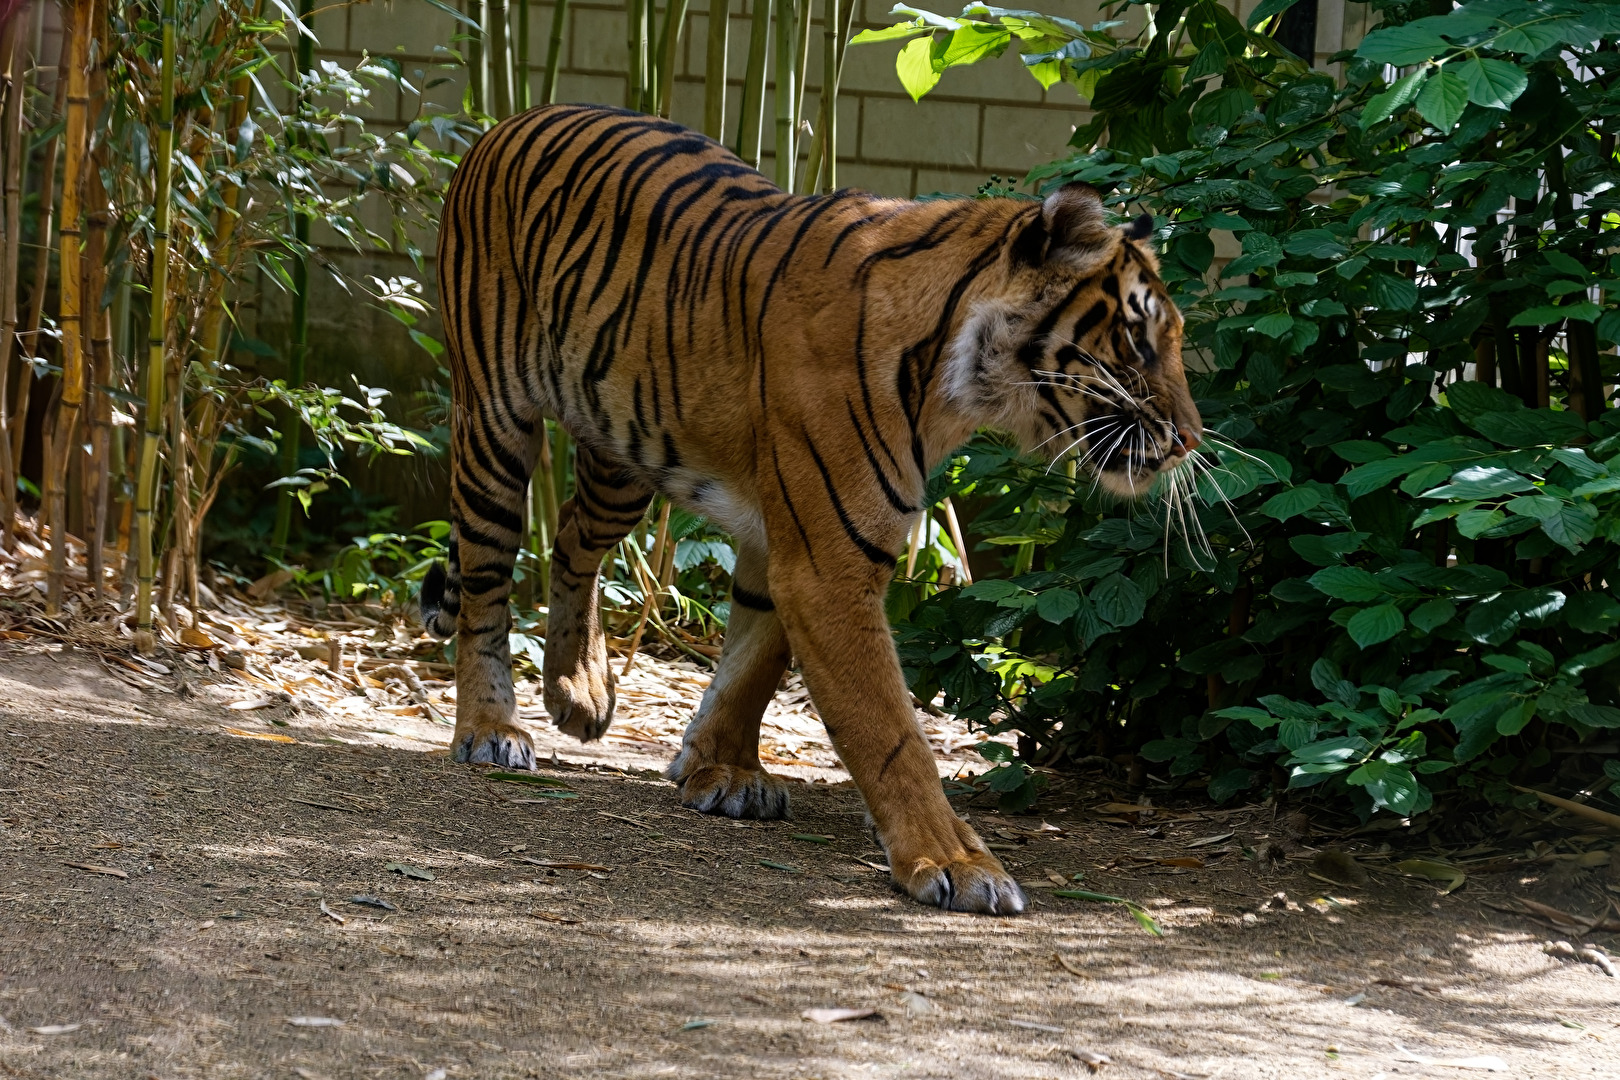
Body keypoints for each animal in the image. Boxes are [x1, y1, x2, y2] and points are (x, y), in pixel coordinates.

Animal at [420, 103, 1202, 914]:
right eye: (1135, 338)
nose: (1189, 440)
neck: (954, 389)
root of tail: (511, 120)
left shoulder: (791, 539)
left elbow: (756, 660)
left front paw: (721, 769)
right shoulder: (829, 565)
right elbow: (890, 732)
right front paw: (958, 863)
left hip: (623, 449)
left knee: (573, 537)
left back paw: (579, 689)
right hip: (495, 425)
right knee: (486, 583)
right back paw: (490, 728)